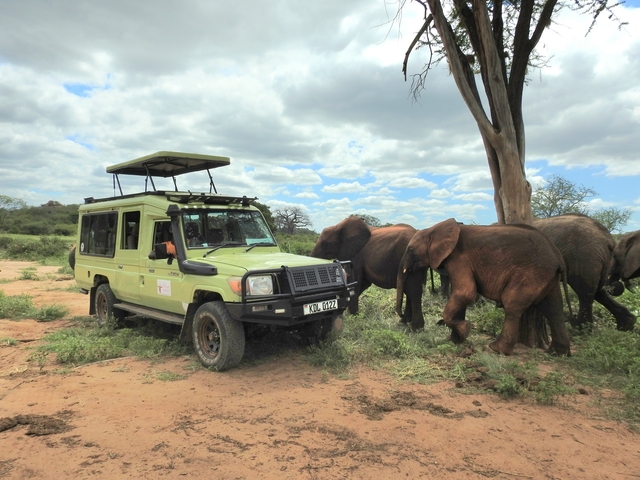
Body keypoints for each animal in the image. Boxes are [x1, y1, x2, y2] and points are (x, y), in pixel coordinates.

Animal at [397, 218, 571, 356]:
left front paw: (465, 329)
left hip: (530, 274)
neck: (435, 228)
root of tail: (558, 258)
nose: (402, 319)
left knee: (513, 306)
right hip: (547, 276)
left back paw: (495, 349)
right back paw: (557, 352)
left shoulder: (459, 258)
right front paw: (454, 340)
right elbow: (460, 295)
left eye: (410, 250)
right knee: (554, 309)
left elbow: (465, 292)